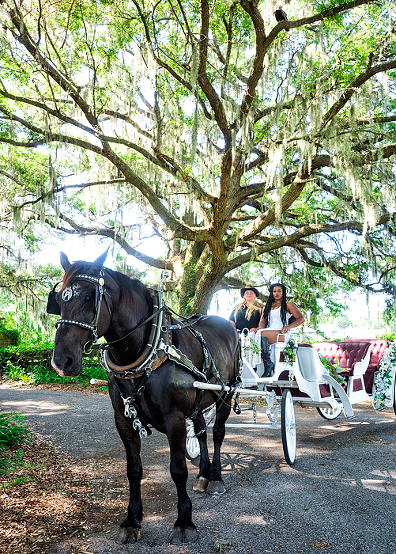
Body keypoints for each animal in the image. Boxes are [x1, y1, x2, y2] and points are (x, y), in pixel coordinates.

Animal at [49, 251, 241, 544]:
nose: (61, 361)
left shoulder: (175, 418)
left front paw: (184, 522)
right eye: (60, 299)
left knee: (218, 433)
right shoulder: (123, 419)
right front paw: (132, 520)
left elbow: (177, 469)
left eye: (90, 297)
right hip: (199, 402)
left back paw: (216, 477)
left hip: (225, 395)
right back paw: (203, 475)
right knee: (201, 433)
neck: (146, 349)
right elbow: (134, 470)